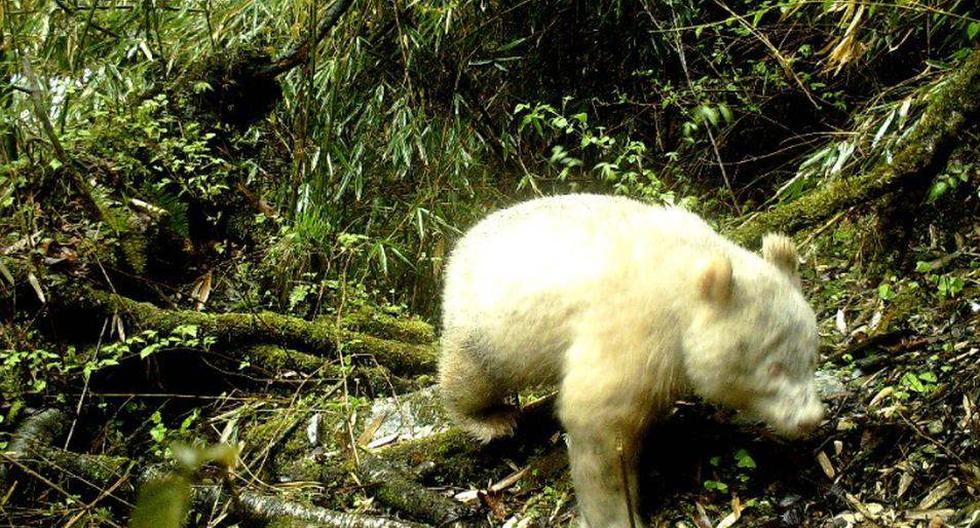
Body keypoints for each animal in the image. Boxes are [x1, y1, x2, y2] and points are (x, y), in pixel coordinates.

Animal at [440, 194, 824, 528]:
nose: (810, 419)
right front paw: (616, 515)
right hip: (485, 325)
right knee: (471, 376)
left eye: (811, 357)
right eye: (774, 367)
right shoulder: (635, 326)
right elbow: (598, 419)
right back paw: (490, 419)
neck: (686, 276)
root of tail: (461, 244)